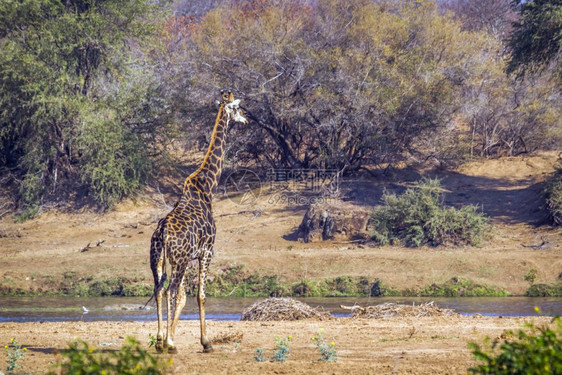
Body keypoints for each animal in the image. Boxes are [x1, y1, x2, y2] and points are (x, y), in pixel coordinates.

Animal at [150, 92, 246, 356]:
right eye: (238, 108)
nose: (245, 120)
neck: (208, 187)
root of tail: (162, 232)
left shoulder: (189, 258)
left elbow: (184, 297)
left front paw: (172, 337)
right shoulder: (207, 252)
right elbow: (200, 296)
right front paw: (205, 342)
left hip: (158, 259)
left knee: (159, 289)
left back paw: (160, 340)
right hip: (179, 260)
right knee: (169, 290)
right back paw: (168, 343)